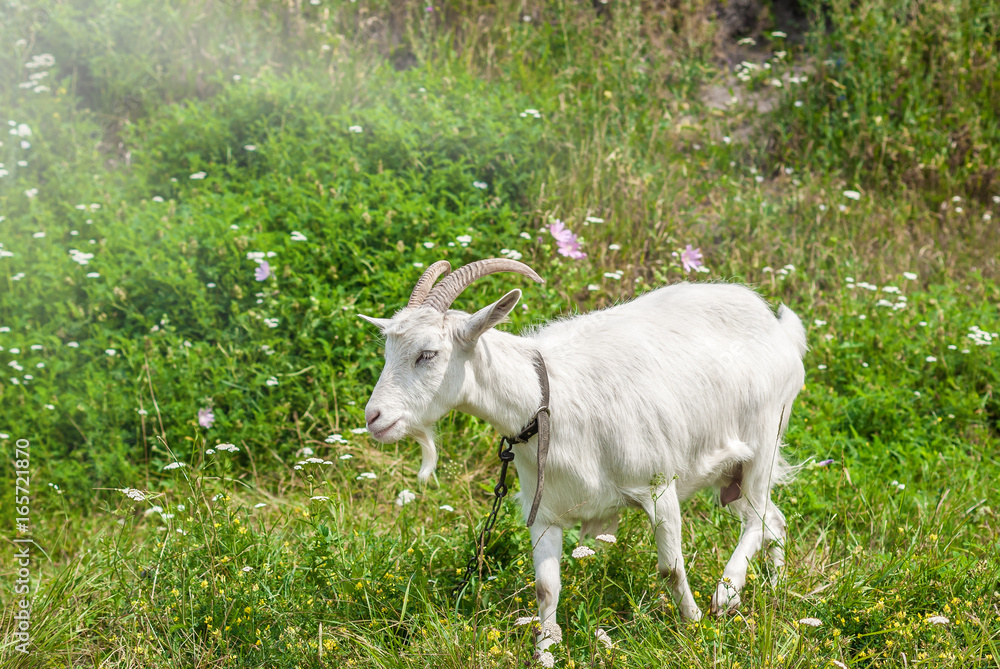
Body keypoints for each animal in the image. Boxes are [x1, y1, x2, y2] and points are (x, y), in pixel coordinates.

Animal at [360, 258, 807, 647]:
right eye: (387, 352)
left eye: (428, 354)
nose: (374, 417)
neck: (547, 397)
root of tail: (779, 326)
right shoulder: (543, 511)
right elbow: (545, 587)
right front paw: (545, 650)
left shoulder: (660, 487)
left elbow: (670, 569)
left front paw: (694, 625)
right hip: (730, 474)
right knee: (773, 518)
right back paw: (774, 587)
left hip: (763, 442)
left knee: (759, 518)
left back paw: (726, 593)